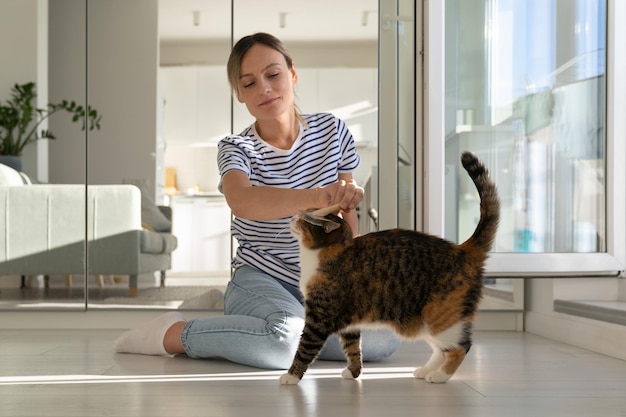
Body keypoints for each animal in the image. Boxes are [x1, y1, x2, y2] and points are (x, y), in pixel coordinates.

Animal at [278, 151, 498, 386]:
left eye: (306, 218)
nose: (293, 216)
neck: (323, 253)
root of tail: (462, 249)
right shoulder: (348, 324)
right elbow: (353, 348)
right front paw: (354, 372)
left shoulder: (319, 318)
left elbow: (304, 349)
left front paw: (291, 376)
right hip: (425, 321)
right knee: (441, 349)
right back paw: (426, 370)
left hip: (441, 316)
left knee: (460, 347)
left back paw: (440, 375)